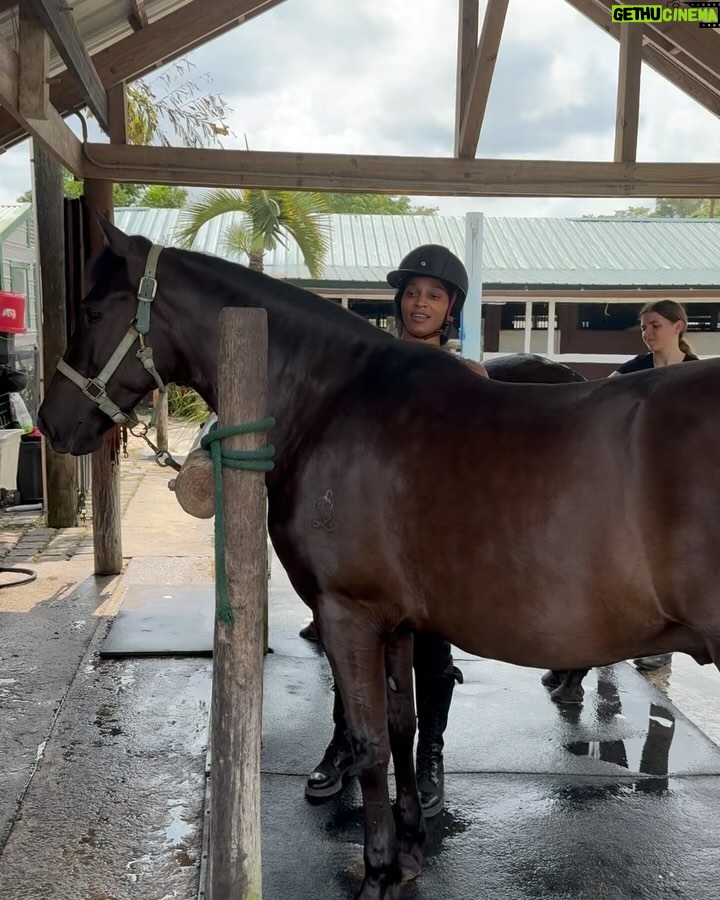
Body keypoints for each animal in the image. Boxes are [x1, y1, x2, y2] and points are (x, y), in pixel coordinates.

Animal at [38, 220, 720, 900]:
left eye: (93, 310)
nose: (51, 421)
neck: (334, 403)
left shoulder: (348, 614)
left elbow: (368, 744)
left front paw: (379, 872)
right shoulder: (395, 624)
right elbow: (401, 726)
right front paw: (412, 845)